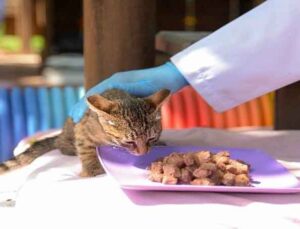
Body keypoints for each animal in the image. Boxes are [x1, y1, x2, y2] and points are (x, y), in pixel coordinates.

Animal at [0, 88, 170, 177]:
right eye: (129, 141)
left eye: (151, 138)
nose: (143, 152)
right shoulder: (83, 129)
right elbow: (86, 148)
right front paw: (92, 168)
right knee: (62, 145)